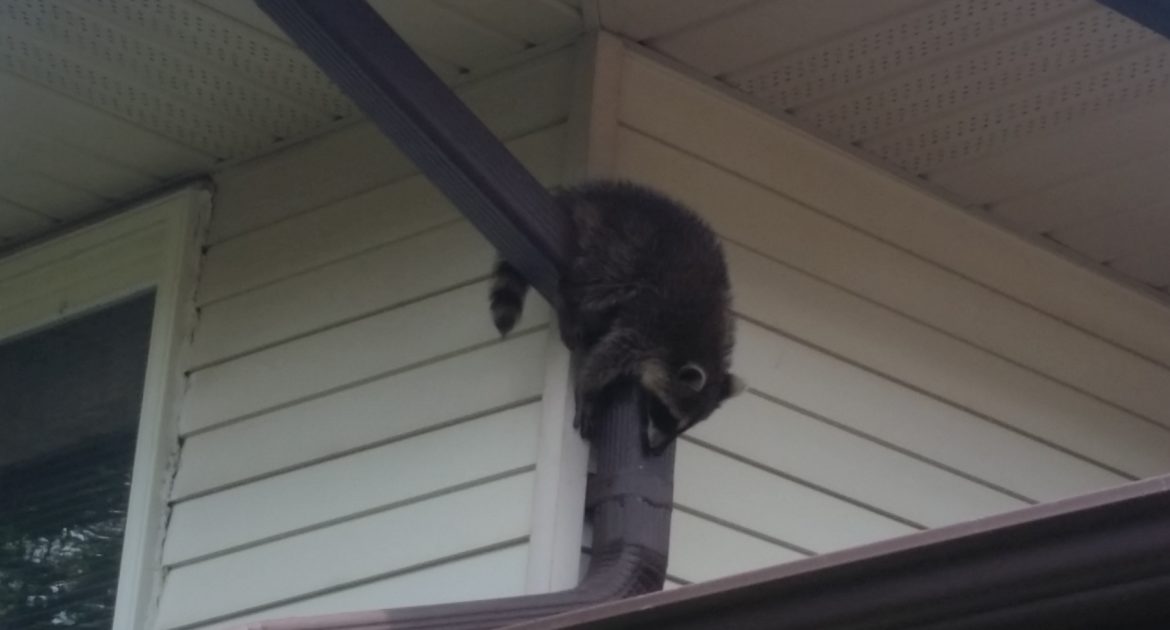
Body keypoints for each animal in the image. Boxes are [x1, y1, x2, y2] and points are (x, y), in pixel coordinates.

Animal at [490, 181, 744, 452]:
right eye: (667, 414)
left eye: (684, 426)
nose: (655, 450)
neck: (702, 343)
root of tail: (596, 192)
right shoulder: (653, 321)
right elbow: (606, 357)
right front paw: (587, 391)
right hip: (616, 246)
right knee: (588, 284)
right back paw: (568, 306)